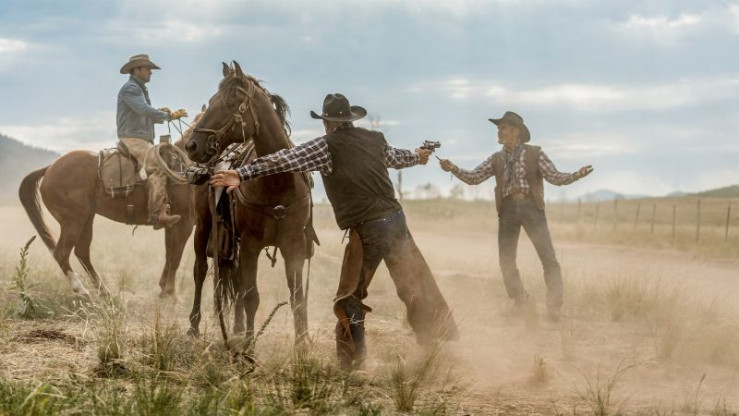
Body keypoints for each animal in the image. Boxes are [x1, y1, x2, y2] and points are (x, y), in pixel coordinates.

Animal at [18, 124, 197, 299]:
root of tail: (49, 168)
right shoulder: (185, 223)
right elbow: (175, 257)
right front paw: (171, 294)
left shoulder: (172, 225)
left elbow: (169, 255)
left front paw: (163, 290)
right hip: (73, 221)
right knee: (61, 253)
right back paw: (81, 290)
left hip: (86, 218)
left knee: (82, 252)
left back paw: (104, 291)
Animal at [184, 61, 312, 347]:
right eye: (212, 100)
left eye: (231, 101)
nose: (191, 145)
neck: (277, 181)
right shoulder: (252, 244)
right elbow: (252, 297)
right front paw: (249, 350)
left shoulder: (294, 246)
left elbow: (297, 298)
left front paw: (302, 347)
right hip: (204, 227)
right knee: (200, 271)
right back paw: (194, 327)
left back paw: (237, 329)